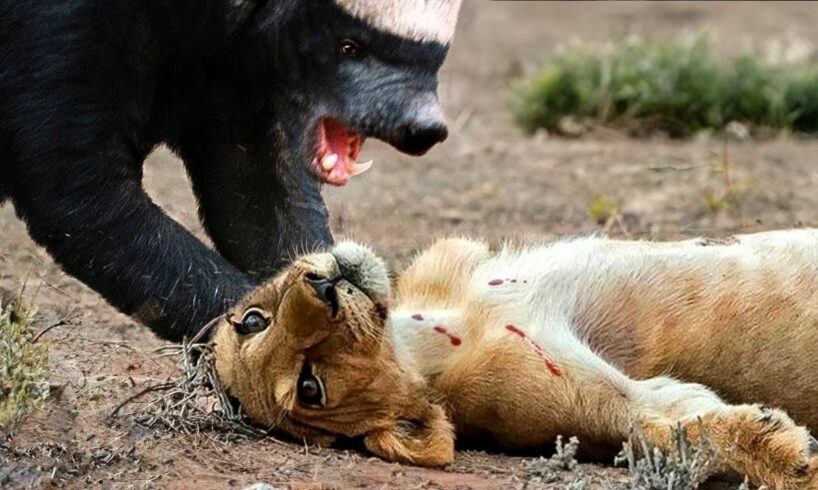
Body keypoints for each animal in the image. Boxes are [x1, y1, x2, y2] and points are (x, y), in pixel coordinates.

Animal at [212, 229, 818, 488]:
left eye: (252, 321)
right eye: (308, 388)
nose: (324, 285)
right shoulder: (609, 404)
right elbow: (682, 427)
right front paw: (789, 456)